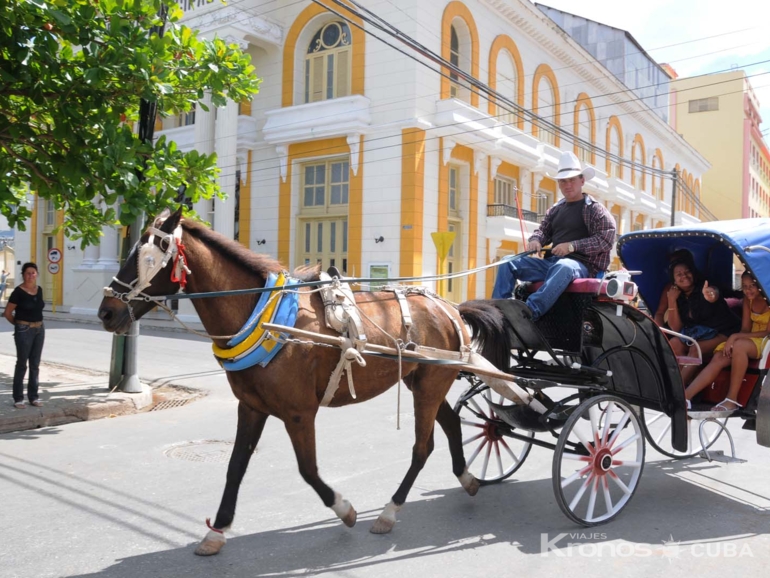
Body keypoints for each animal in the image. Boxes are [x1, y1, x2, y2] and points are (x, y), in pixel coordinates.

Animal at [97, 207, 480, 552]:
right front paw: (217, 530)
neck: (262, 316)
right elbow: (235, 466)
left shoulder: (299, 413)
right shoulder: (251, 407)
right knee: (450, 424)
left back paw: (390, 511)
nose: (106, 312)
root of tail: (450, 308)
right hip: (422, 382)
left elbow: (308, 469)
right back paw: (467, 478)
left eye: (148, 256)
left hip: (429, 386)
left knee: (422, 447)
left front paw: (345, 510)